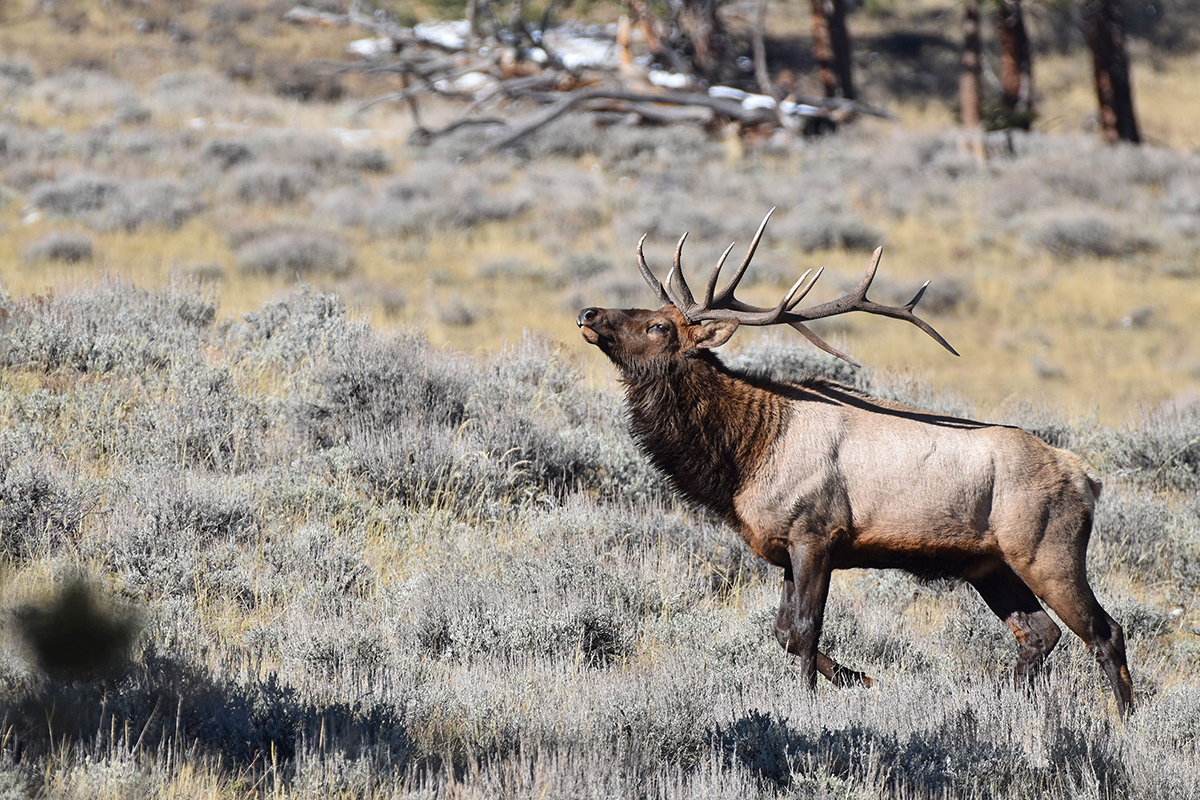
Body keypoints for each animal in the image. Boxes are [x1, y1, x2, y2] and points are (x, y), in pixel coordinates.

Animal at [580, 209, 1132, 714]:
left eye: (657, 325)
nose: (588, 313)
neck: (746, 455)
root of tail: (1088, 479)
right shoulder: (786, 545)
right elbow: (783, 632)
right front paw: (860, 677)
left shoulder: (816, 534)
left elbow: (805, 629)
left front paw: (809, 700)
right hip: (991, 564)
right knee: (1039, 634)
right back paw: (1006, 703)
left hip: (1049, 550)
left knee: (1105, 631)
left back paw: (1123, 722)